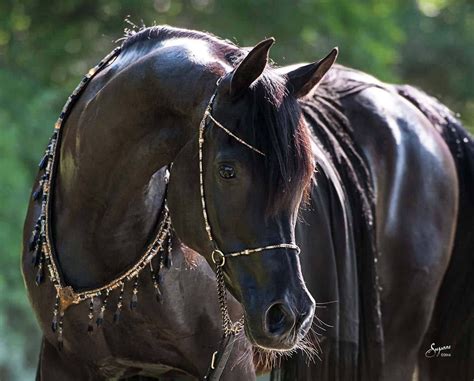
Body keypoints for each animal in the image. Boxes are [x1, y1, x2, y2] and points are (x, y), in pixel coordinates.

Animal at [24, 25, 472, 378]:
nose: (289, 314)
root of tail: (410, 103)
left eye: (304, 180)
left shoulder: (229, 364)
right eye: (227, 170)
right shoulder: (65, 364)